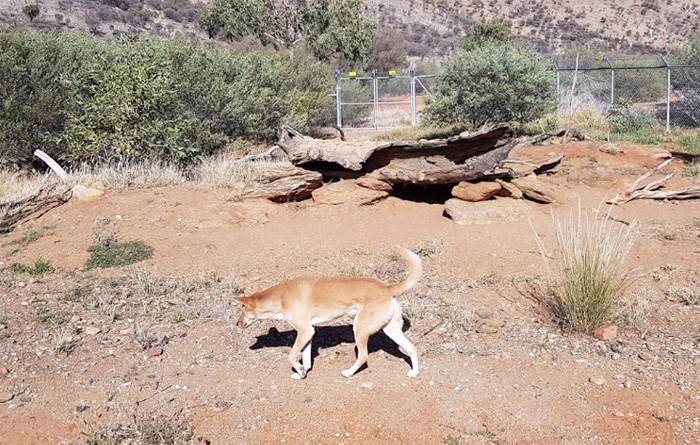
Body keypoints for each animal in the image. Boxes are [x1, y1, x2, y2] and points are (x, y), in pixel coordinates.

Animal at [235, 246, 422, 378]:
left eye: (241, 311)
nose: (237, 323)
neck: (281, 296)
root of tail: (387, 287)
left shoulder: (304, 331)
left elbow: (291, 356)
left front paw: (299, 370)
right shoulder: (308, 332)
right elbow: (305, 357)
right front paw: (303, 372)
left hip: (360, 328)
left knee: (363, 356)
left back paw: (348, 373)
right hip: (391, 329)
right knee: (412, 348)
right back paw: (414, 372)